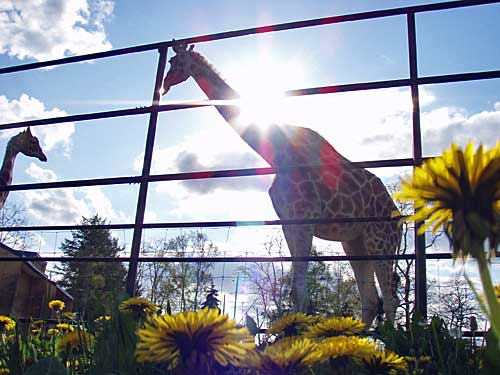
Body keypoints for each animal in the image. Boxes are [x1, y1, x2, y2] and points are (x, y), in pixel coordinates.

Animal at [163, 44, 402, 326]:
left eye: (175, 62)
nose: (163, 86)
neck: (277, 154)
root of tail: (400, 217)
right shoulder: (289, 222)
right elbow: (295, 290)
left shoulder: (305, 220)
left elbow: (300, 288)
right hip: (355, 243)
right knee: (371, 299)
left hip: (381, 241)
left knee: (389, 296)